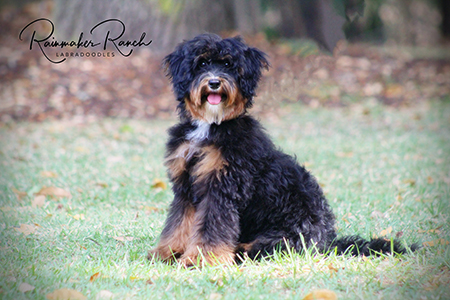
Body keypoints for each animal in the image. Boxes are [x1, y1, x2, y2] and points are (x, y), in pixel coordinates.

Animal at [148, 33, 414, 268]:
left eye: (228, 64)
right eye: (201, 63)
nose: (214, 82)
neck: (211, 125)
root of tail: (329, 243)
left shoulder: (222, 188)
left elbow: (211, 228)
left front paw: (201, 259)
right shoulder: (185, 186)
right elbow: (179, 223)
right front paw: (166, 253)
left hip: (283, 239)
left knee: (257, 250)